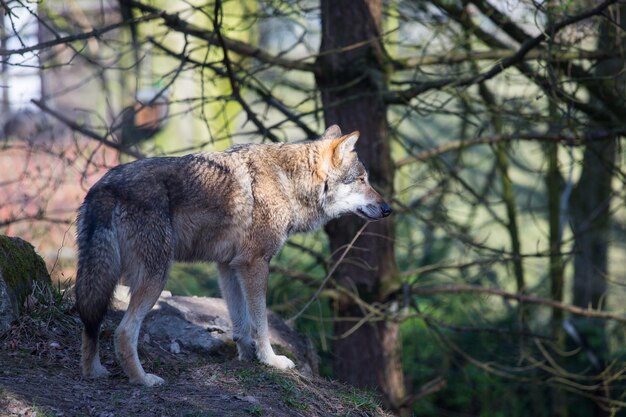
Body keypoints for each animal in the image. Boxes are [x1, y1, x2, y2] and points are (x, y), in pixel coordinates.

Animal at [74, 124, 390, 386]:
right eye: (362, 179)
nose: (388, 209)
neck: (289, 182)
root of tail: (104, 186)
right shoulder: (256, 264)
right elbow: (260, 322)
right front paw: (271, 360)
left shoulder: (228, 266)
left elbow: (240, 322)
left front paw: (246, 358)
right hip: (155, 277)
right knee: (123, 332)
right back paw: (143, 380)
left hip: (105, 275)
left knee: (92, 321)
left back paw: (94, 372)